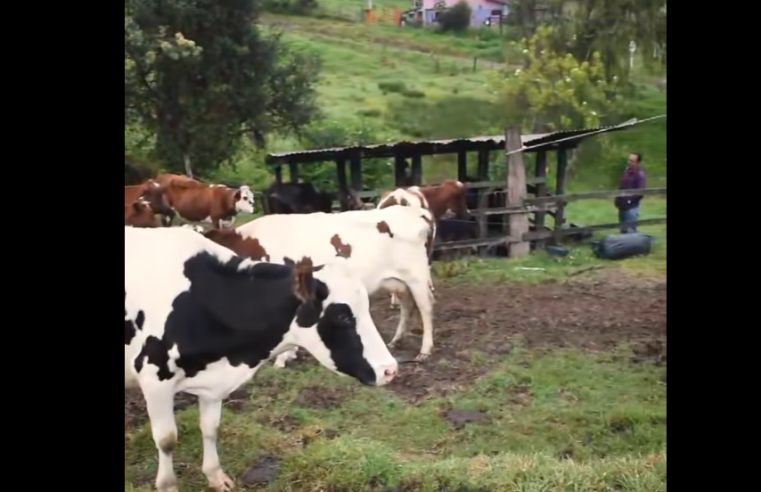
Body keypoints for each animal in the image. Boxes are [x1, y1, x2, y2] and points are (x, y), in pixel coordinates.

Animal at [124, 227, 398, 492]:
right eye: (342, 316)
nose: (390, 370)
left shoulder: (214, 383)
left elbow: (211, 428)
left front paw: (215, 476)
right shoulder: (154, 378)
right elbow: (167, 439)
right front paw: (168, 485)